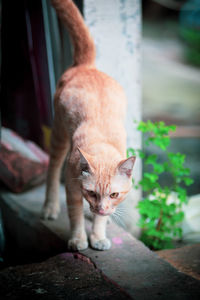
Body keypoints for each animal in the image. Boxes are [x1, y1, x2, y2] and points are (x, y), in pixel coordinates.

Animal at [42, 0, 136, 251]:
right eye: (91, 192)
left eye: (114, 195)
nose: (101, 208)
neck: (102, 143)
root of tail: (88, 65)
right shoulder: (72, 188)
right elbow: (74, 215)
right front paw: (79, 239)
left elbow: (100, 220)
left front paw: (99, 235)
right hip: (59, 135)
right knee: (52, 169)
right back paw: (50, 206)